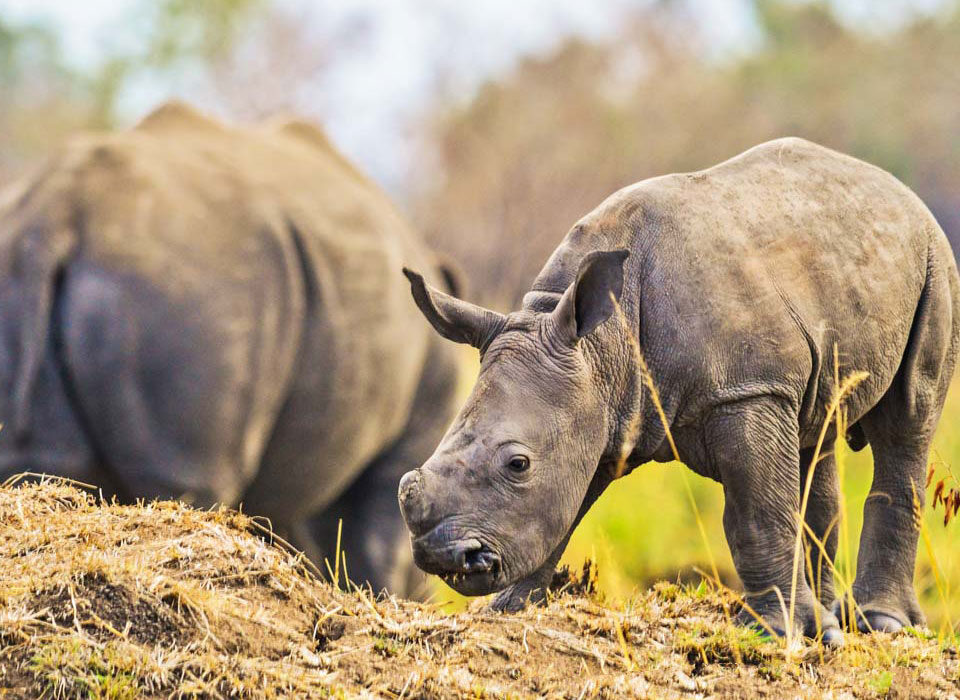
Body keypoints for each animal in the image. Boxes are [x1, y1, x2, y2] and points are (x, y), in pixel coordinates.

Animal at [0, 102, 461, 595]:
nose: (431, 592)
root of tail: (56, 214)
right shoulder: (415, 423)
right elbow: (375, 544)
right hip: (190, 288)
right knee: (188, 480)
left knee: (38, 465)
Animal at [398, 137, 960, 644]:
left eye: (518, 464)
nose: (445, 557)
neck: (601, 341)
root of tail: (899, 190)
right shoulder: (603, 407)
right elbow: (566, 509)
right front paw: (507, 609)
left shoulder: (745, 389)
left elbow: (757, 515)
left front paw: (778, 632)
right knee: (814, 432)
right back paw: (830, 628)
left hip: (937, 264)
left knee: (908, 418)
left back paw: (880, 626)